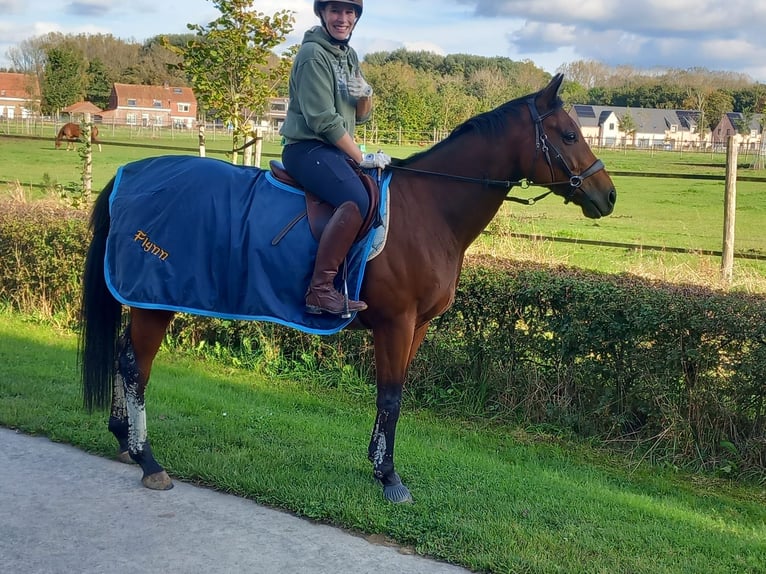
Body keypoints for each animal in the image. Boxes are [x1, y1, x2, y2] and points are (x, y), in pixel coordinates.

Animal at [78, 73, 616, 504]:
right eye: (569, 134)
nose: (607, 195)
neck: (430, 208)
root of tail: (129, 175)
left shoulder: (417, 327)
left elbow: (392, 395)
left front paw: (379, 466)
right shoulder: (395, 324)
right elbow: (391, 397)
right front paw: (391, 479)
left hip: (145, 299)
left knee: (126, 356)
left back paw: (122, 438)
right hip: (154, 300)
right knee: (137, 366)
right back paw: (148, 459)